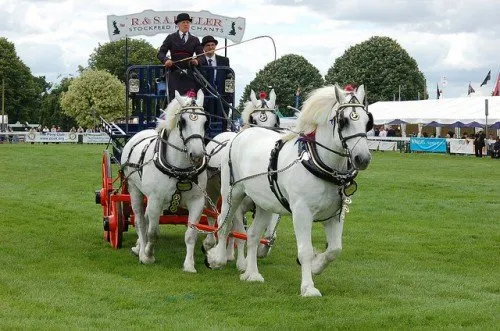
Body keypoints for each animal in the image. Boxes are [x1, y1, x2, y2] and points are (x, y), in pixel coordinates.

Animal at [123, 90, 209, 272]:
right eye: (183, 121)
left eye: (206, 122)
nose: (198, 155)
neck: (180, 170)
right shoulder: (155, 199)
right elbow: (152, 232)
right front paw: (148, 256)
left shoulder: (197, 201)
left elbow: (191, 234)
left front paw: (189, 264)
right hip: (135, 190)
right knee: (140, 220)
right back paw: (141, 249)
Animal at [205, 84, 374, 296]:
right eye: (344, 121)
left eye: (368, 121)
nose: (363, 158)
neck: (318, 162)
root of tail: (238, 136)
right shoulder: (302, 212)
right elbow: (305, 250)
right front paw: (308, 287)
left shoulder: (334, 215)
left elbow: (335, 249)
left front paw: (317, 265)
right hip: (232, 193)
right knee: (224, 223)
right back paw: (217, 258)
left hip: (264, 204)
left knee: (252, 235)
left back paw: (252, 274)